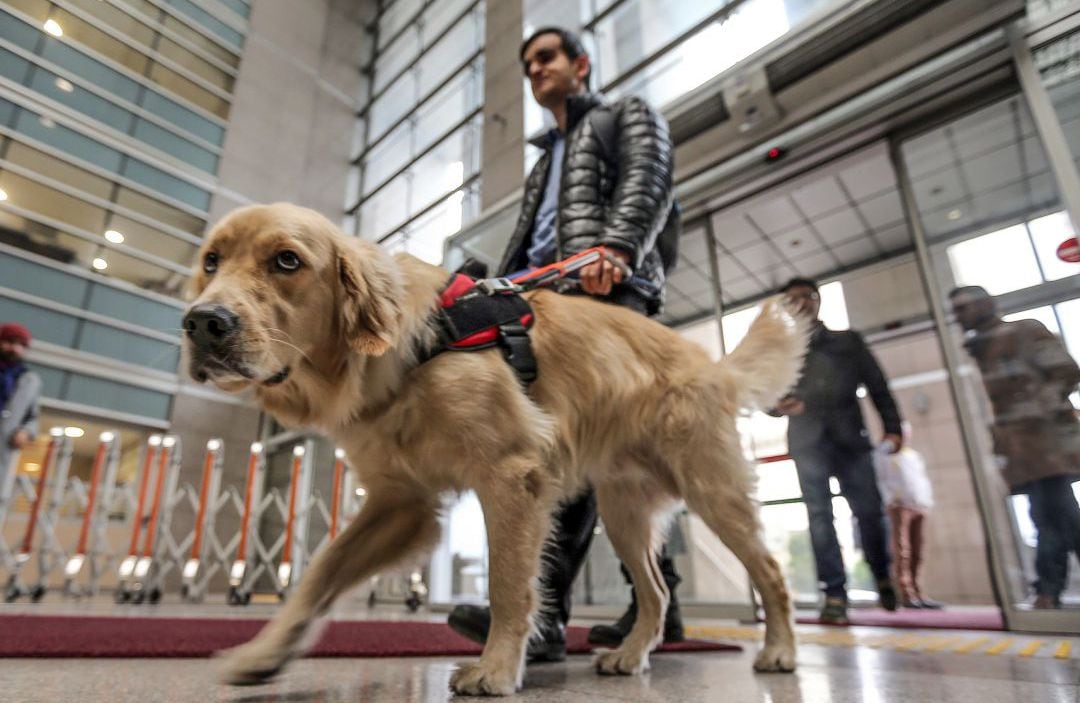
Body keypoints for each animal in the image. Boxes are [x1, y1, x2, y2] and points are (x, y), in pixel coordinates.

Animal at [185, 201, 807, 691]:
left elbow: (509, 585)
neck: (416, 345)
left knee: (771, 575)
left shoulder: (512, 476)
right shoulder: (400, 503)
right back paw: (631, 655)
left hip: (712, 491)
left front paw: (497, 668)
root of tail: (712, 364)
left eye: (287, 261)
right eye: (211, 261)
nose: (202, 323)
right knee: (654, 591)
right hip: (623, 511)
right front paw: (265, 654)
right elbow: (321, 570)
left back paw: (779, 650)